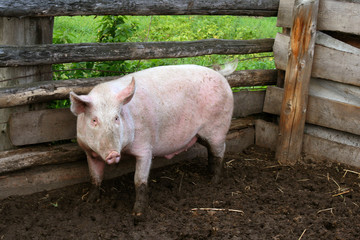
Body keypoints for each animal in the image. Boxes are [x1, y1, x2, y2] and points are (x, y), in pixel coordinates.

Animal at [69, 62, 235, 216]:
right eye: (94, 120)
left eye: (116, 118)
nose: (113, 154)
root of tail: (220, 75)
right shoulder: (88, 152)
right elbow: (95, 177)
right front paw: (89, 201)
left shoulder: (145, 147)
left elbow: (139, 180)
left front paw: (137, 213)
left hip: (218, 128)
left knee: (220, 151)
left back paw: (213, 181)